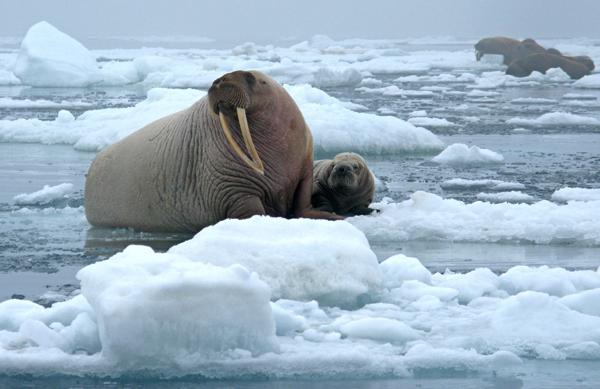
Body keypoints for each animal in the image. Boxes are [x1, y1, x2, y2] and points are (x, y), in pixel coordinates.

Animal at [83, 69, 342, 230]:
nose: (218, 81)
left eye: (250, 77)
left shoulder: (304, 166)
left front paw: (333, 216)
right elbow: (249, 209)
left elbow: (302, 200)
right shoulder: (232, 186)